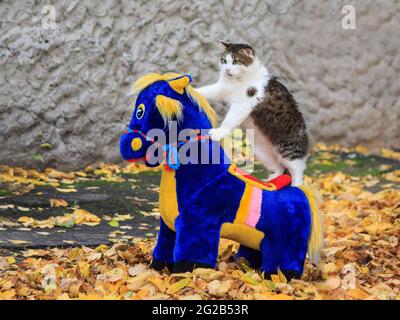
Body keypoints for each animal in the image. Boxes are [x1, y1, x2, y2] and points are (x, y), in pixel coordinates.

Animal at [198, 40, 310, 185]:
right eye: (224, 61)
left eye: (235, 61)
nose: (227, 70)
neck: (238, 80)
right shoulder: (221, 88)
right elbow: (206, 90)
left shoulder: (244, 102)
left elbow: (230, 120)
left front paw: (218, 133)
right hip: (262, 151)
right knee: (278, 168)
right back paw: (271, 184)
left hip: (288, 150)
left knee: (297, 170)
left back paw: (295, 186)